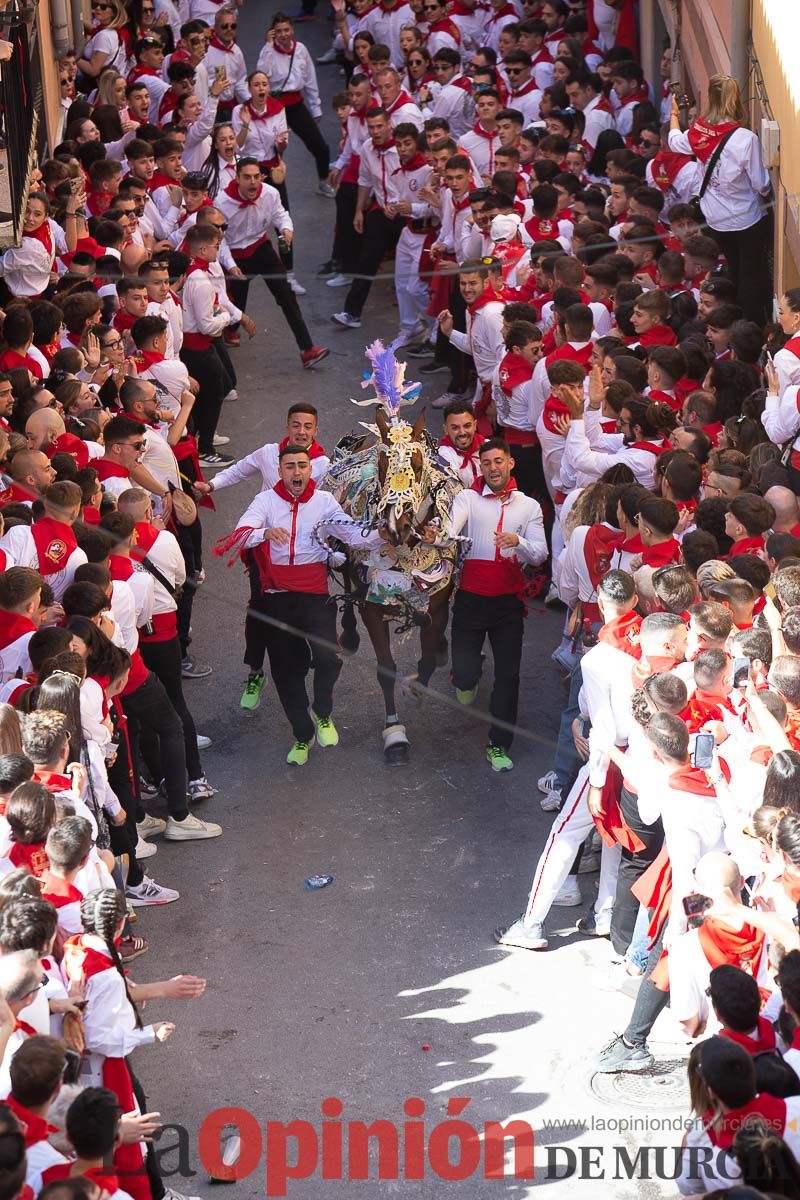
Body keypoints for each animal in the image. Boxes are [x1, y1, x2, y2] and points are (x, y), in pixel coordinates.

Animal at [319, 343, 465, 763]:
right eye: (384, 464)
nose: (395, 524)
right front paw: (394, 733)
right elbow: (385, 667)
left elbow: (428, 654)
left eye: (416, 463)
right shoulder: (373, 604)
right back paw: (348, 634)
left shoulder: (437, 601)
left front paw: (420, 681)